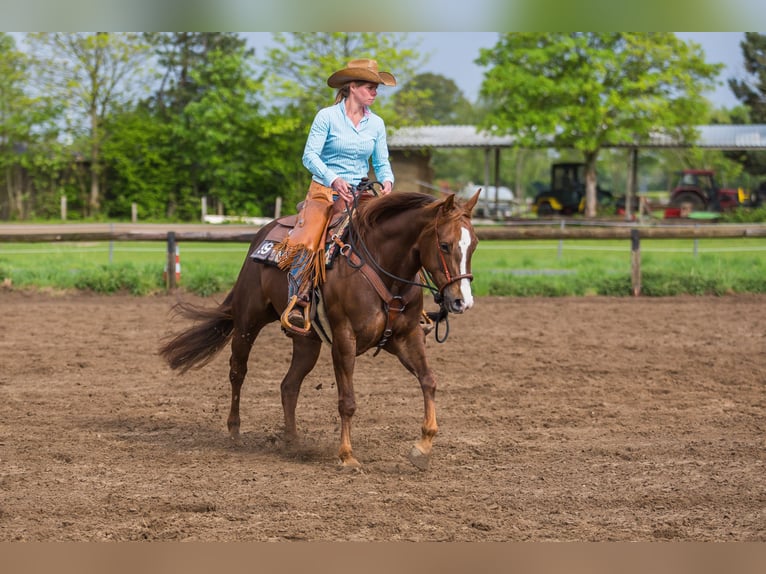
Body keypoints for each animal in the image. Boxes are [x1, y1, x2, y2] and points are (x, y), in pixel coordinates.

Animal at [159, 188, 480, 470]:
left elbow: (429, 381)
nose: (462, 301)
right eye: (444, 245)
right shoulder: (344, 340)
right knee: (238, 371)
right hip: (248, 322)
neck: (384, 269)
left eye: (474, 244)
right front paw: (347, 456)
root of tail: (261, 236)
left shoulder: (406, 337)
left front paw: (422, 448)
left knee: (289, 385)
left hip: (306, 342)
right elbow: (347, 401)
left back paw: (293, 442)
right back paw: (235, 431)